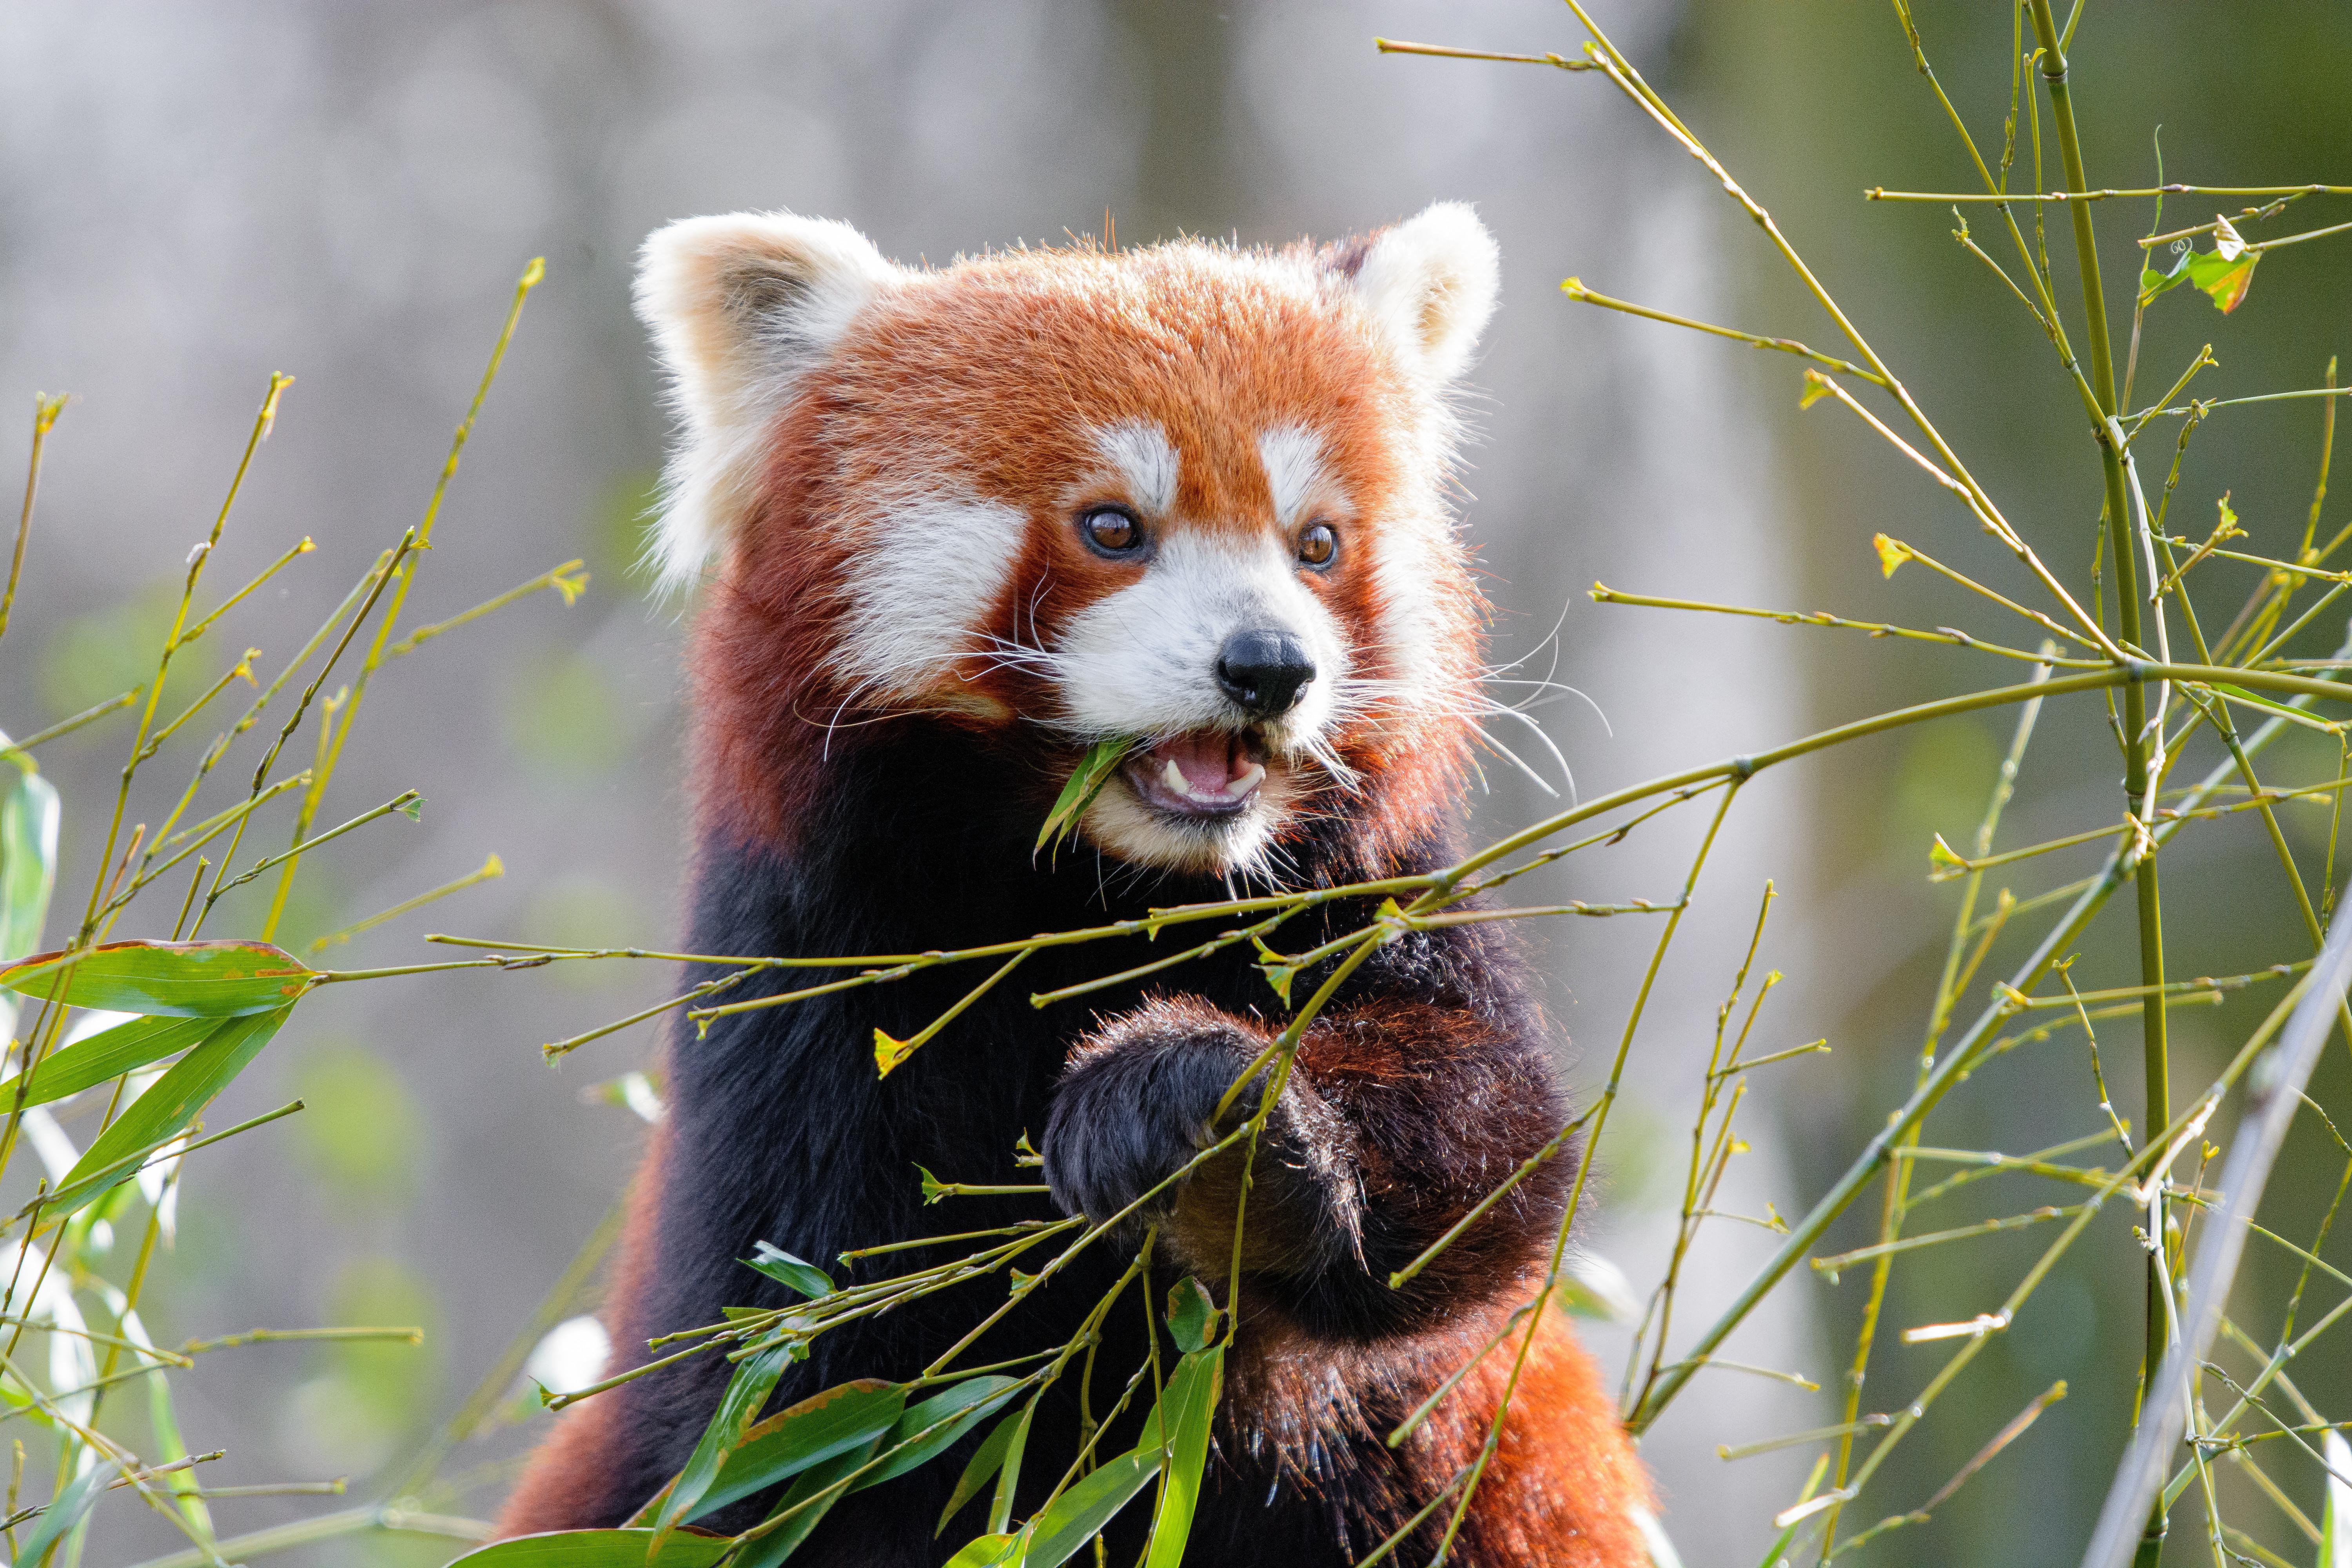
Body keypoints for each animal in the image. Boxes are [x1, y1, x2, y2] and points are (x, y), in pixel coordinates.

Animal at [503, 208, 1646, 1568]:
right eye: (1113, 528)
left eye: (1316, 545)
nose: (1270, 666)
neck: (1106, 889)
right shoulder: (808, 998)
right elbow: (818, 1378)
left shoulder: (1374, 906)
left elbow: (1485, 1163)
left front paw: (1210, 1133)